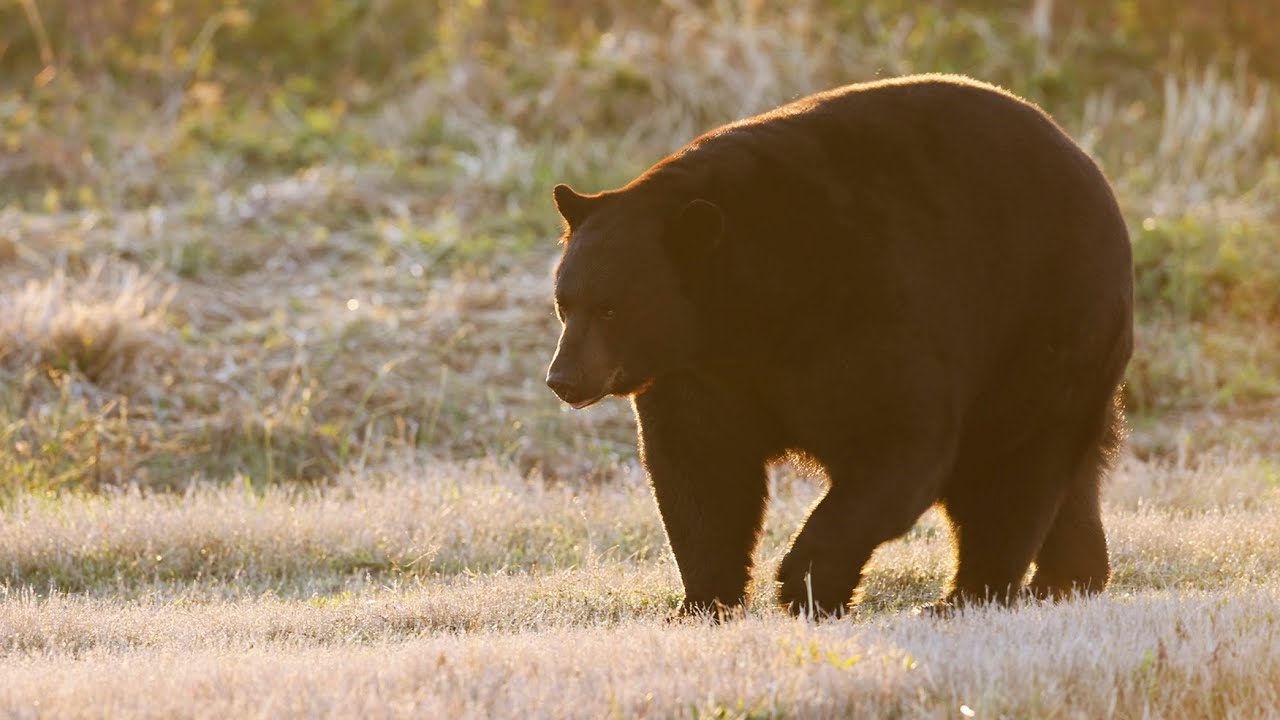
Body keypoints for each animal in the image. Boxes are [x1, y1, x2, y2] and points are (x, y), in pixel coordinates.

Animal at [545, 74, 1133, 617]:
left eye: (610, 308)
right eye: (564, 302)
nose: (562, 379)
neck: (747, 308)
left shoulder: (866, 309)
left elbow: (897, 438)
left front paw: (804, 585)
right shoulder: (699, 372)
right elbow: (700, 468)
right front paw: (704, 602)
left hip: (1042, 326)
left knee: (1009, 471)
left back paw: (965, 596)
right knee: (1065, 475)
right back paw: (1068, 578)